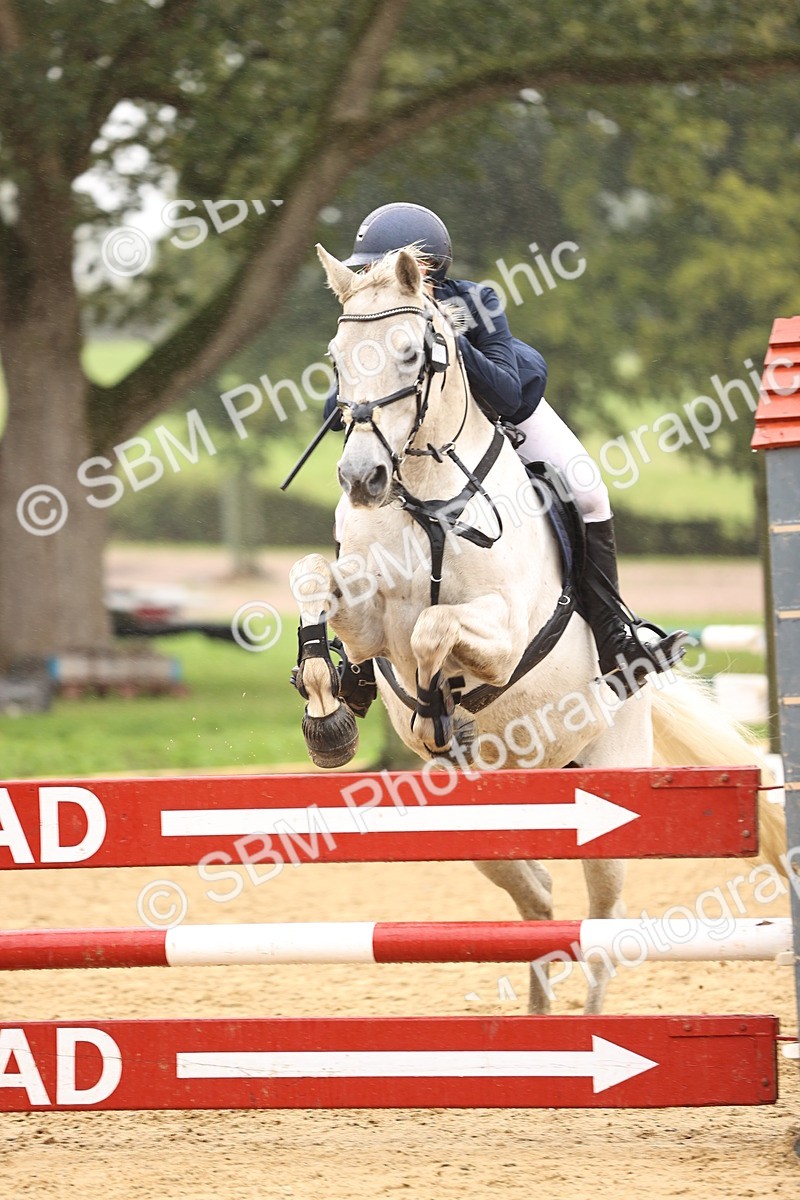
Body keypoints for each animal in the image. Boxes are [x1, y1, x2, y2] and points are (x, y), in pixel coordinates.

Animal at [289, 243, 786, 1015]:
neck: (425, 500)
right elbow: (315, 581)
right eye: (337, 360)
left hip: (609, 788)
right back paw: (537, 1016)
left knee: (602, 923)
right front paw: (328, 711)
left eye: (411, 354)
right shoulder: (368, 622)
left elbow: (433, 632)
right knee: (539, 898)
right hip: (478, 825)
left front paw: (438, 708)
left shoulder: (499, 638)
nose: (361, 478)